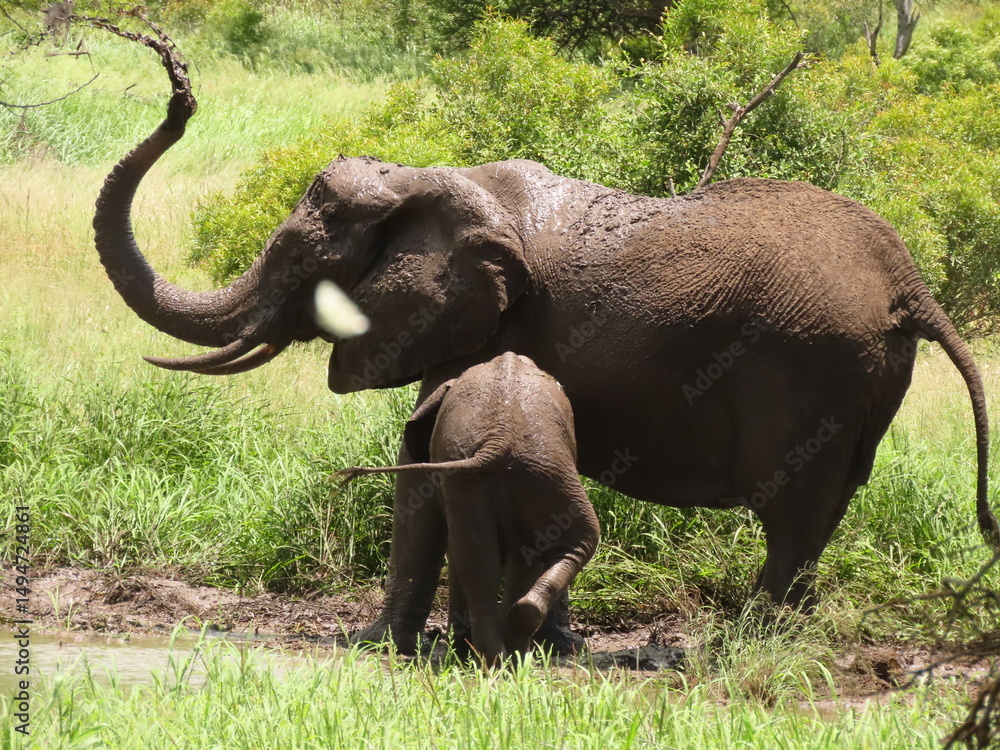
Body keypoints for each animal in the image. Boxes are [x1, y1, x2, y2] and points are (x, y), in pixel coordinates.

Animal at [337, 352, 600, 665]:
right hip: (529, 472)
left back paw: (503, 653)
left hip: (527, 472)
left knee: (480, 557)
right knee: (489, 556)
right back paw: (503, 653)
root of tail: (499, 442)